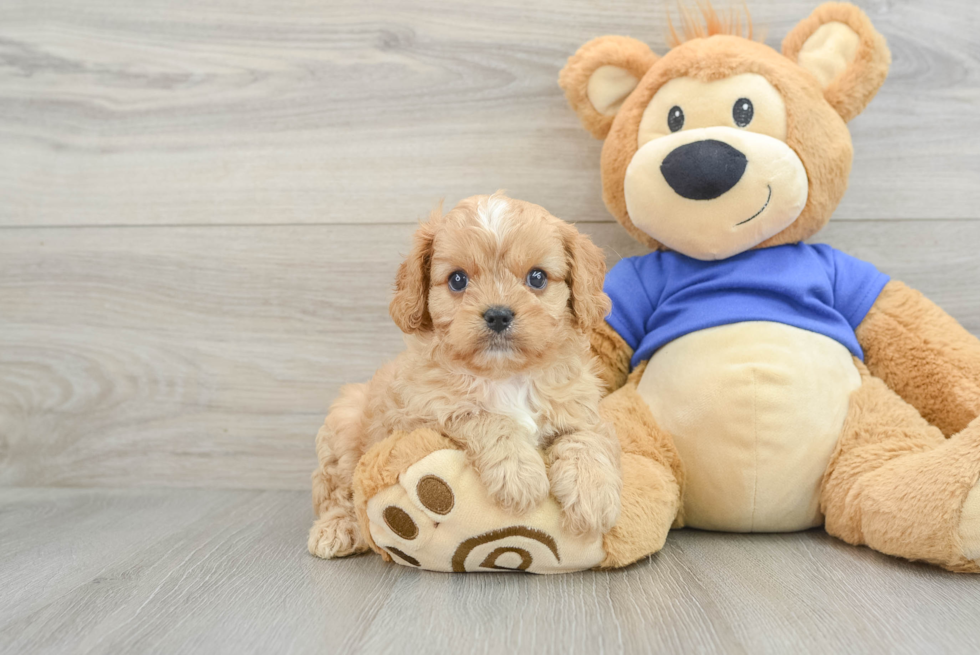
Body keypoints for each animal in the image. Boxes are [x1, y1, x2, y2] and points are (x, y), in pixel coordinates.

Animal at [310, 195, 624, 560]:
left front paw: (592, 497)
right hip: (344, 424)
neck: (506, 376)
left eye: (537, 278)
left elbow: (586, 439)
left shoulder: (580, 408)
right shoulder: (423, 415)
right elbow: (483, 417)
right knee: (336, 491)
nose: (498, 314)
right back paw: (336, 528)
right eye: (458, 280)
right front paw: (520, 475)